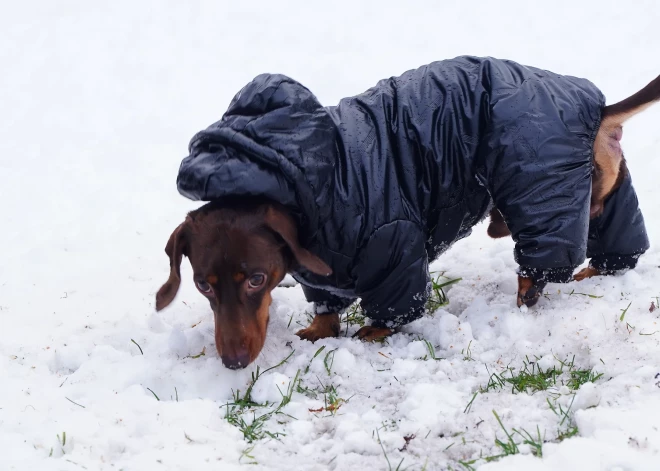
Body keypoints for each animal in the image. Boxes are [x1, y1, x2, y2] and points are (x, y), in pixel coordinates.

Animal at [157, 58, 656, 368]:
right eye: (202, 285)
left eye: (256, 280)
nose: (233, 363)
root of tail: (597, 108)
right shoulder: (322, 273)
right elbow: (327, 305)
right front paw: (318, 330)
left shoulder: (392, 241)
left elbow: (395, 307)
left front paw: (374, 332)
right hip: (594, 191)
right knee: (612, 229)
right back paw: (599, 270)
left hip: (538, 190)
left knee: (541, 263)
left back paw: (530, 291)